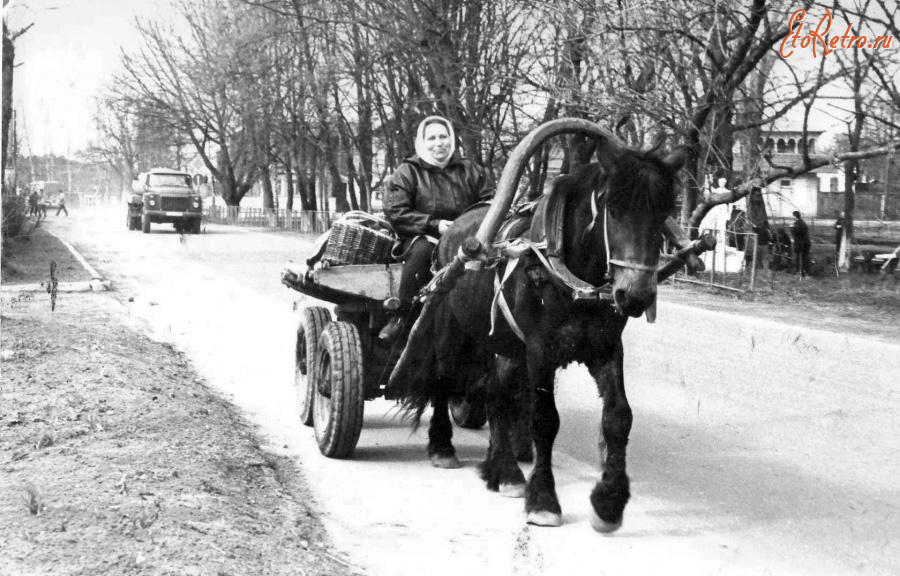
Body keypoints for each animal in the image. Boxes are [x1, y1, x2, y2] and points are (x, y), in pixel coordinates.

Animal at [398, 124, 684, 532]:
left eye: (664, 212)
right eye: (614, 209)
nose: (636, 295)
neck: (570, 276)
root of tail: (455, 232)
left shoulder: (605, 349)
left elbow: (618, 417)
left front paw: (609, 502)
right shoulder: (540, 351)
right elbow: (545, 420)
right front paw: (544, 500)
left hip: (501, 343)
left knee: (496, 394)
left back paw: (504, 470)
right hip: (452, 330)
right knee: (443, 378)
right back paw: (442, 448)